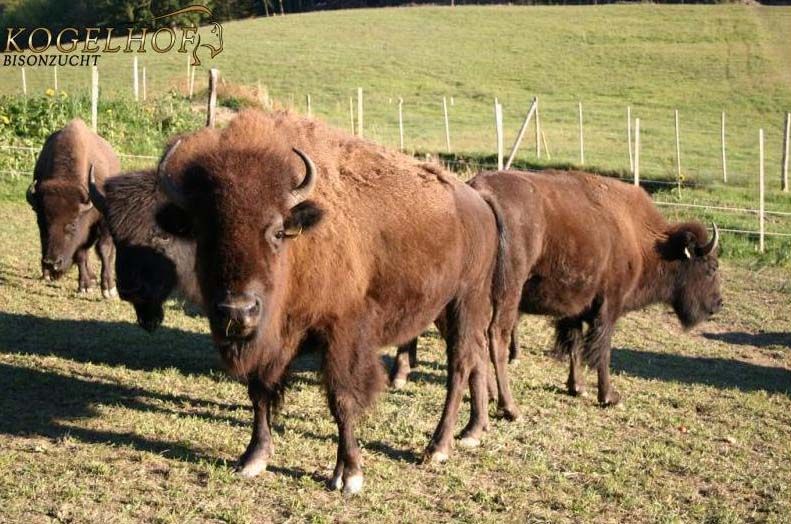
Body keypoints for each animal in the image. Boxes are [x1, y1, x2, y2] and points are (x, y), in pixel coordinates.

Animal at [26, 118, 120, 297]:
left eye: (73, 224)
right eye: (42, 223)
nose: (52, 263)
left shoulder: (103, 221)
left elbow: (104, 250)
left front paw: (108, 289)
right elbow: (81, 254)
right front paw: (84, 286)